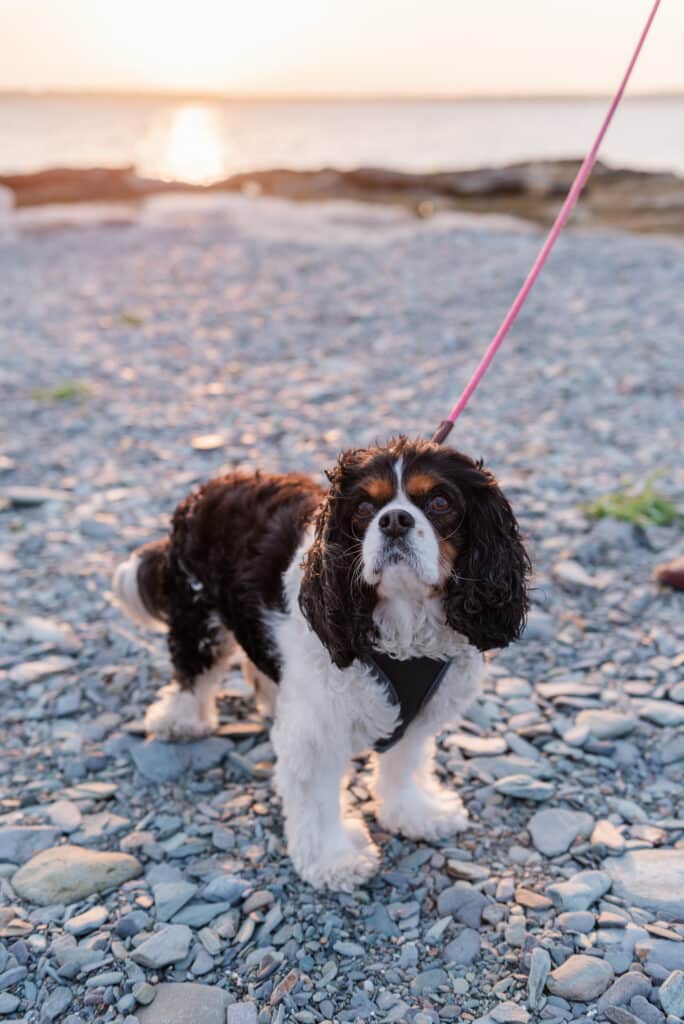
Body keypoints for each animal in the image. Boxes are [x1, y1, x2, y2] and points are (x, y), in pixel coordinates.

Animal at [113, 436, 528, 892]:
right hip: (198, 610)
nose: (394, 520)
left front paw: (416, 812)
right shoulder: (318, 728)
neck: (405, 620)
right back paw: (181, 719)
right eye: (364, 507)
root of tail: (211, 487)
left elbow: (404, 763)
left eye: (439, 502)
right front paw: (335, 861)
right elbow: (318, 798)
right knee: (194, 668)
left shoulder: (420, 713)